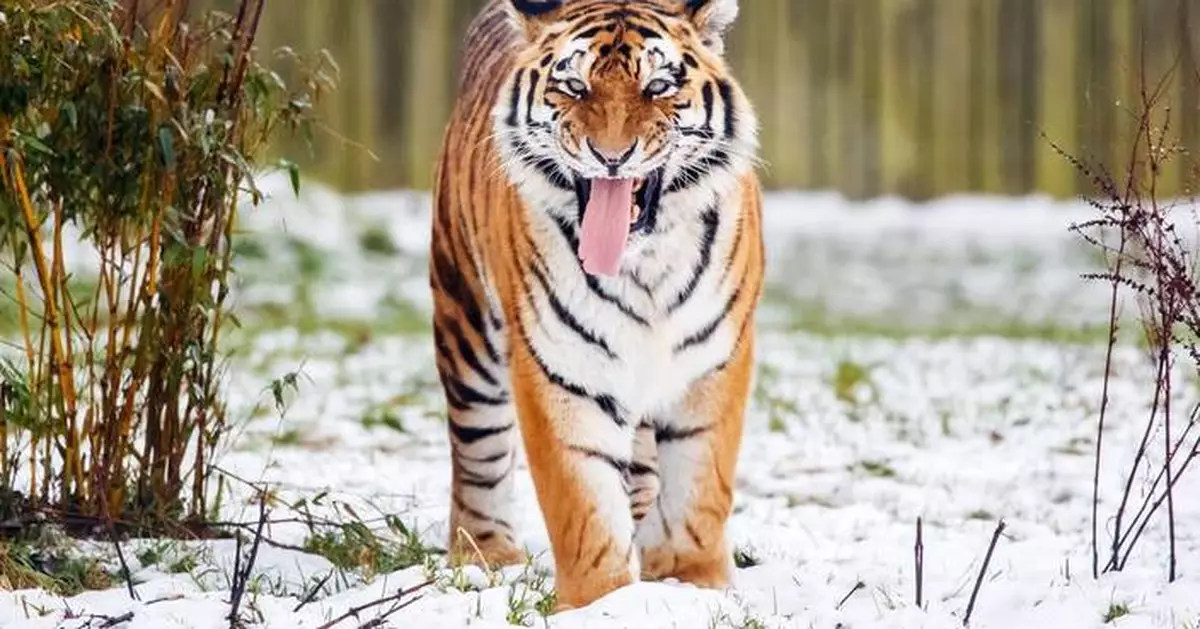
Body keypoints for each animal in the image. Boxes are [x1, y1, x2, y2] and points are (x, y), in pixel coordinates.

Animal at [429, 0, 763, 611]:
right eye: (574, 87)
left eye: (658, 87)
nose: (612, 158)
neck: (643, 267)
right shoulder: (560, 367)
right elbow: (583, 500)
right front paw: (601, 603)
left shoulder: (713, 360)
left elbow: (699, 486)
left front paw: (694, 584)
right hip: (466, 321)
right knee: (477, 451)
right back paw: (487, 556)